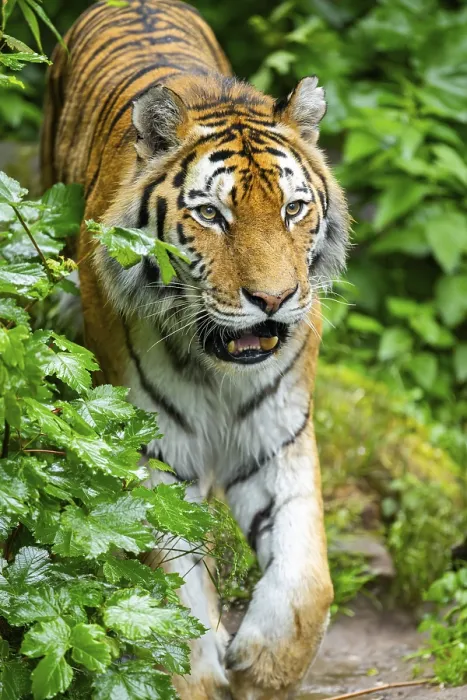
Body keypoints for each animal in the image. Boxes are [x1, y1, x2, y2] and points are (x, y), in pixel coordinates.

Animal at [41, 1, 349, 698]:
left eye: (294, 209)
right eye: (211, 215)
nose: (273, 298)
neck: (221, 371)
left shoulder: (279, 435)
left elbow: (308, 579)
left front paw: (263, 663)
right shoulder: (158, 449)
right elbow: (168, 587)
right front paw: (200, 670)